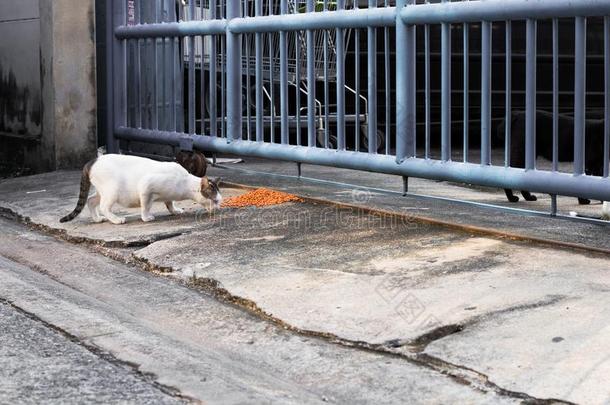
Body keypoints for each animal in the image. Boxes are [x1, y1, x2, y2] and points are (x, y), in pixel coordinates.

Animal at [58, 154, 221, 224]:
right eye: (215, 200)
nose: (219, 207)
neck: (184, 182)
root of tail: (92, 161)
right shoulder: (146, 186)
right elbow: (146, 206)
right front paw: (146, 217)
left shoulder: (168, 195)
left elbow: (169, 203)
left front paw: (174, 210)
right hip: (112, 190)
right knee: (104, 206)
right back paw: (116, 219)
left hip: (101, 191)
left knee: (91, 201)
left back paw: (97, 219)